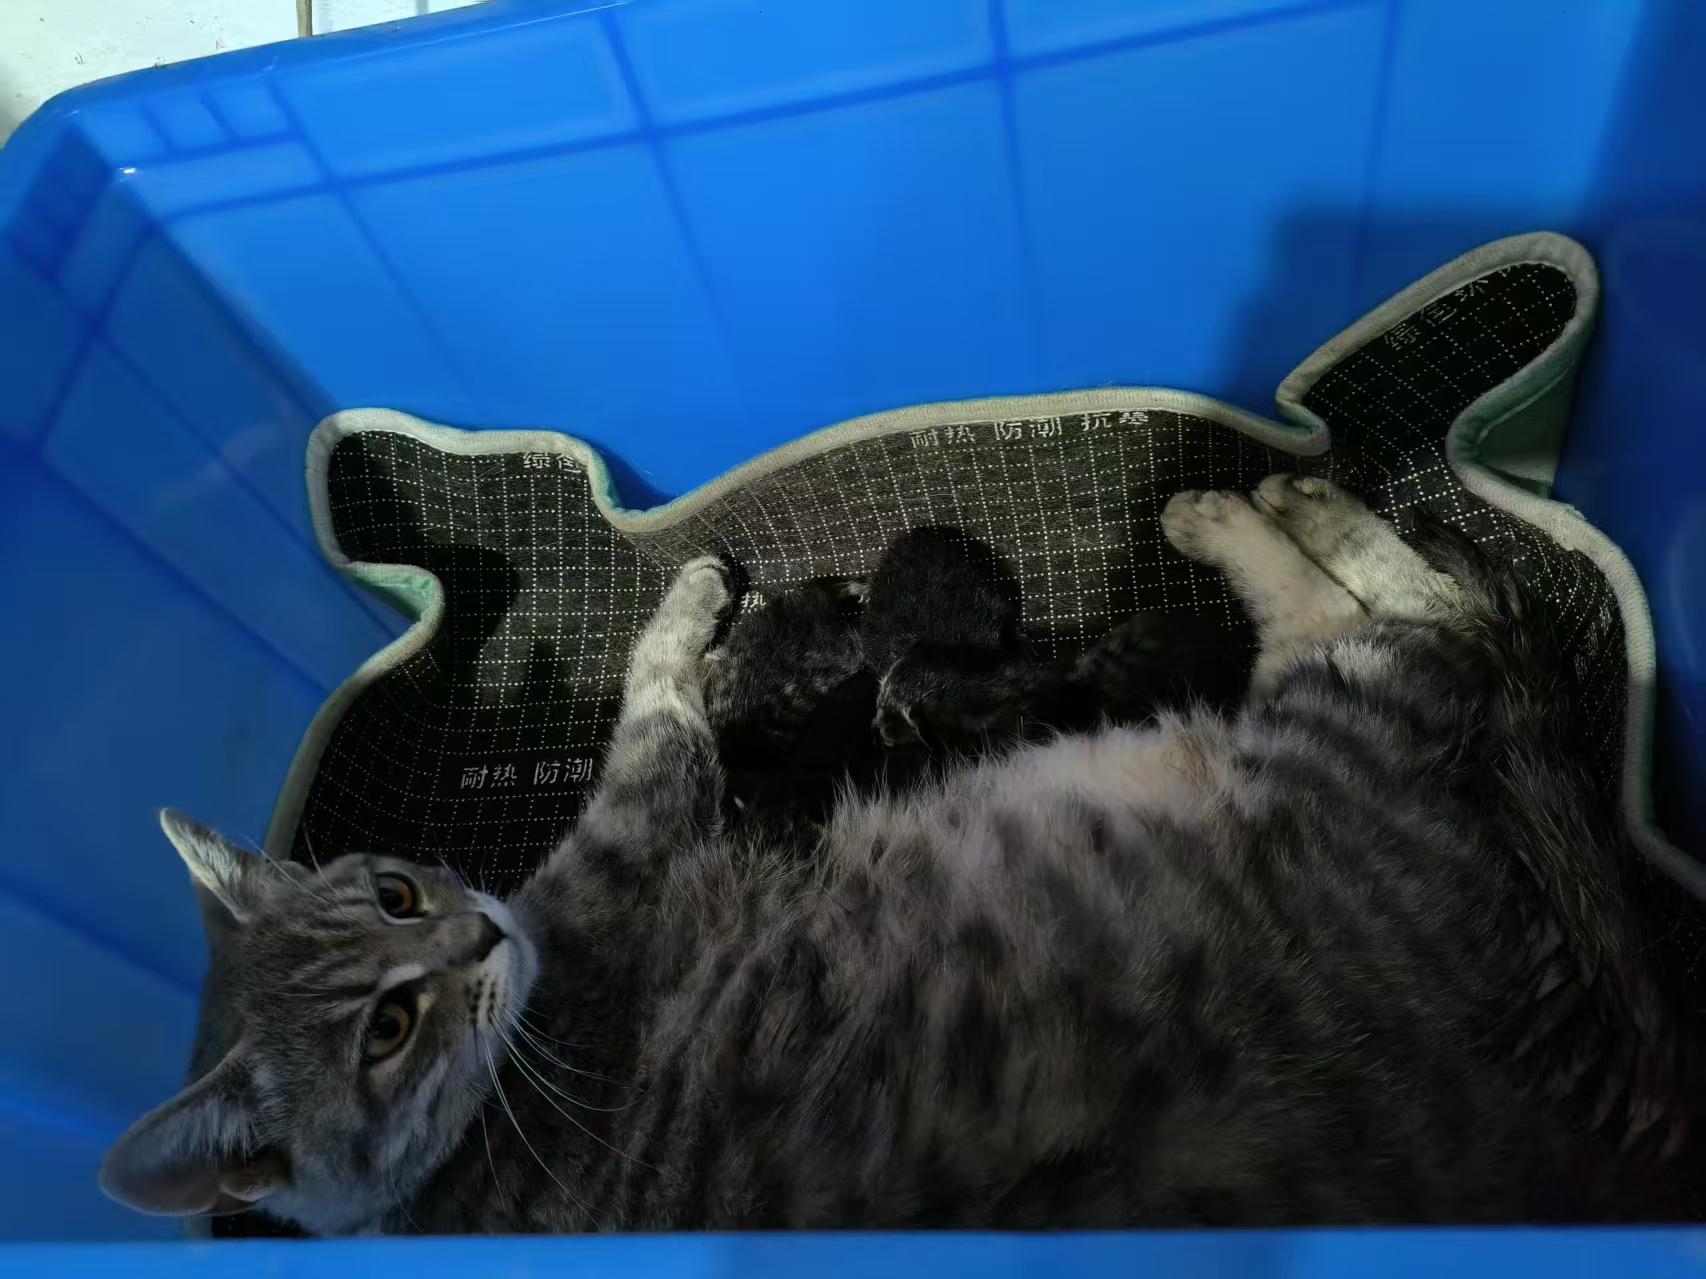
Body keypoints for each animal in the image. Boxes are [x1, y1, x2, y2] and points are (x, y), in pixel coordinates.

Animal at [100, 475, 1702, 1234]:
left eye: (392, 890)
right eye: (385, 1025)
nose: (478, 932)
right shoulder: (641, 798)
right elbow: (655, 672)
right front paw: (694, 604)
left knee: (1431, 610)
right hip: (1324, 724)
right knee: (1413, 620)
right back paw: (1247, 508)